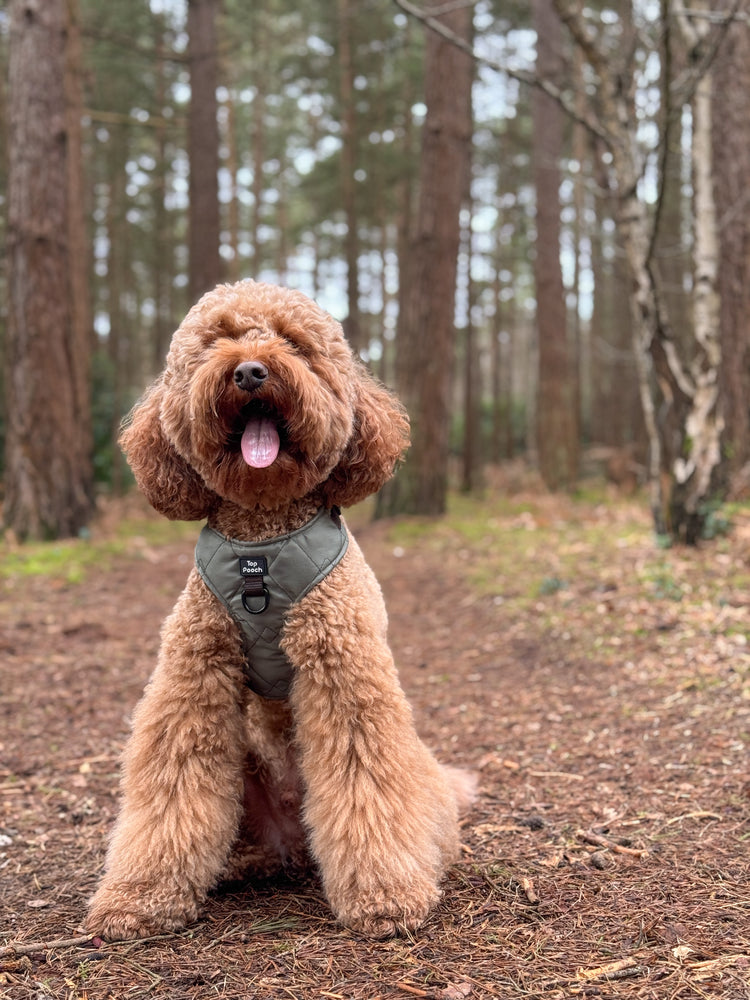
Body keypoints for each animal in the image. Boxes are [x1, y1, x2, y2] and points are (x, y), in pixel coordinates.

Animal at [86, 280, 476, 936]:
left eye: (293, 343)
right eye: (216, 340)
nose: (249, 371)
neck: (261, 547)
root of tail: (295, 837)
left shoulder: (342, 668)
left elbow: (365, 772)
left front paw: (385, 894)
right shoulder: (194, 674)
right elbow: (173, 778)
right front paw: (139, 897)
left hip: (416, 769)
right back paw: (247, 862)